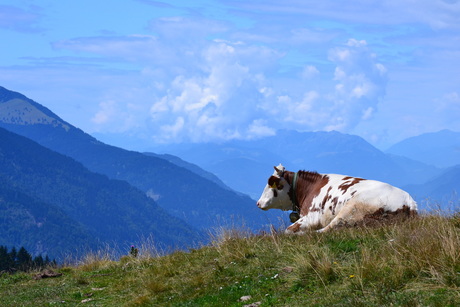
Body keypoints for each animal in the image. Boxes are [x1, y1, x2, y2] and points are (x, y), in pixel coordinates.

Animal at [256, 165, 418, 235]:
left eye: (270, 185)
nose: (258, 203)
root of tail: (409, 201)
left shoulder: (314, 216)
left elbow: (288, 230)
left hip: (351, 208)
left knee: (326, 230)